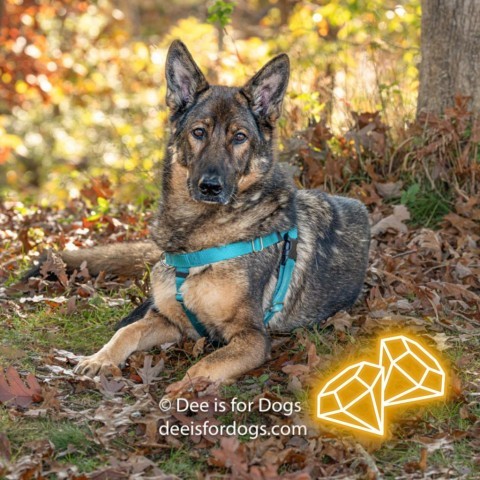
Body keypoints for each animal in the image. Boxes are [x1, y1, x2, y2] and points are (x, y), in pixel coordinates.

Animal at [36, 41, 372, 386]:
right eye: (199, 132)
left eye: (239, 137)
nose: (210, 186)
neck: (197, 236)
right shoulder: (171, 320)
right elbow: (127, 333)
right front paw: (100, 359)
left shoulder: (252, 337)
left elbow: (204, 366)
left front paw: (182, 390)